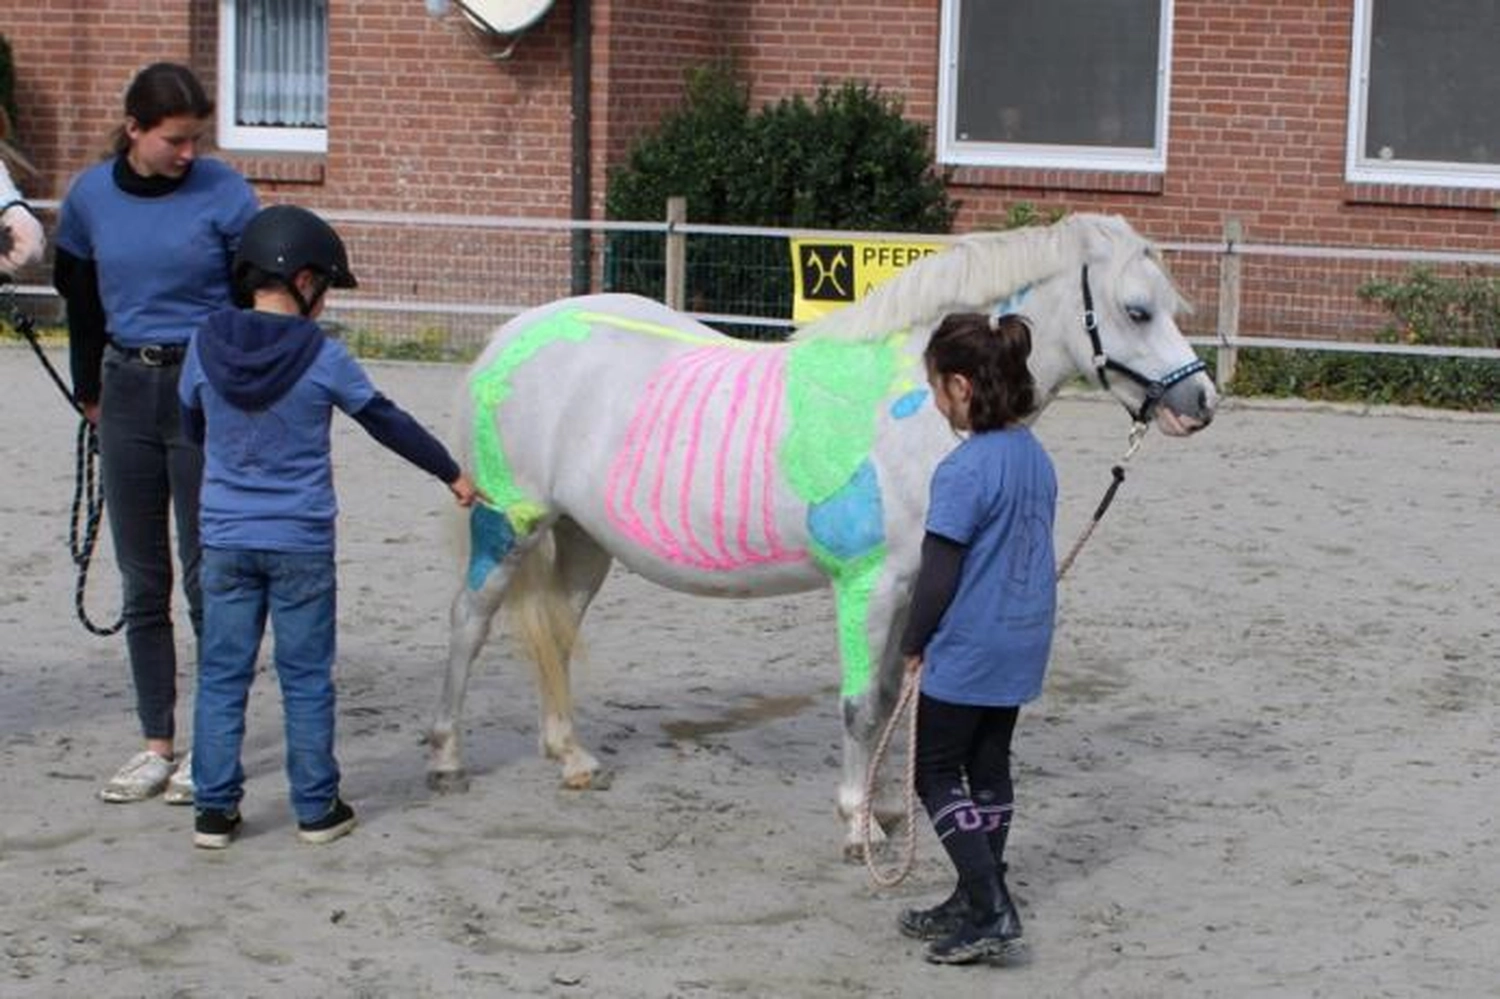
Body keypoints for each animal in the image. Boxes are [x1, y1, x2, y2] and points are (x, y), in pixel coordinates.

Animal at [426, 212, 1217, 855]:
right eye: (1137, 310)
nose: (1201, 401)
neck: (916, 403)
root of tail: (513, 335)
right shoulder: (869, 585)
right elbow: (860, 704)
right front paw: (857, 825)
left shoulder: (915, 588)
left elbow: (895, 695)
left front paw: (888, 808)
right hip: (508, 526)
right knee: (467, 622)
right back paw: (446, 759)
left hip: (585, 542)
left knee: (556, 634)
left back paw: (573, 758)